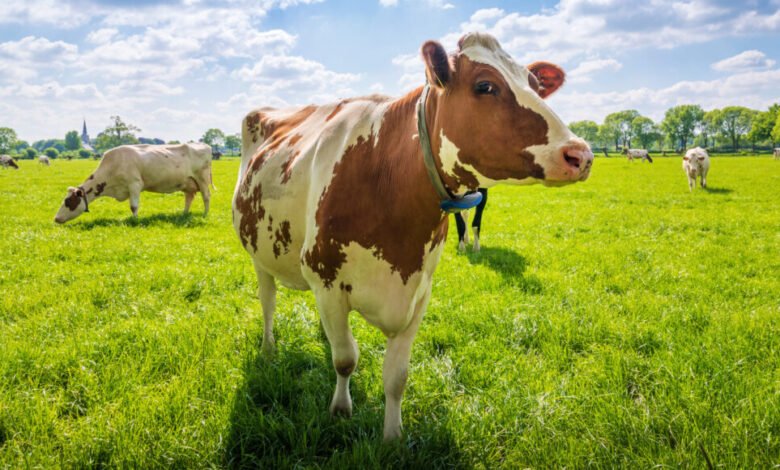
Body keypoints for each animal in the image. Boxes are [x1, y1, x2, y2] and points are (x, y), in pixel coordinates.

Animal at [54, 143, 213, 224]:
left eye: (68, 202)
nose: (56, 218)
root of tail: (204, 145)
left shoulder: (135, 184)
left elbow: (133, 206)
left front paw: (135, 220)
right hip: (187, 183)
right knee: (189, 198)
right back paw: (184, 214)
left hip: (202, 178)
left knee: (206, 196)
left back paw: (205, 214)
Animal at [232, 32, 594, 440]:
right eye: (485, 86)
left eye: (534, 84)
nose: (581, 154)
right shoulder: (326, 281)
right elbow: (346, 360)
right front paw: (341, 410)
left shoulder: (418, 291)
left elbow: (397, 377)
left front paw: (392, 437)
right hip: (258, 255)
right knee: (268, 302)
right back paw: (268, 348)